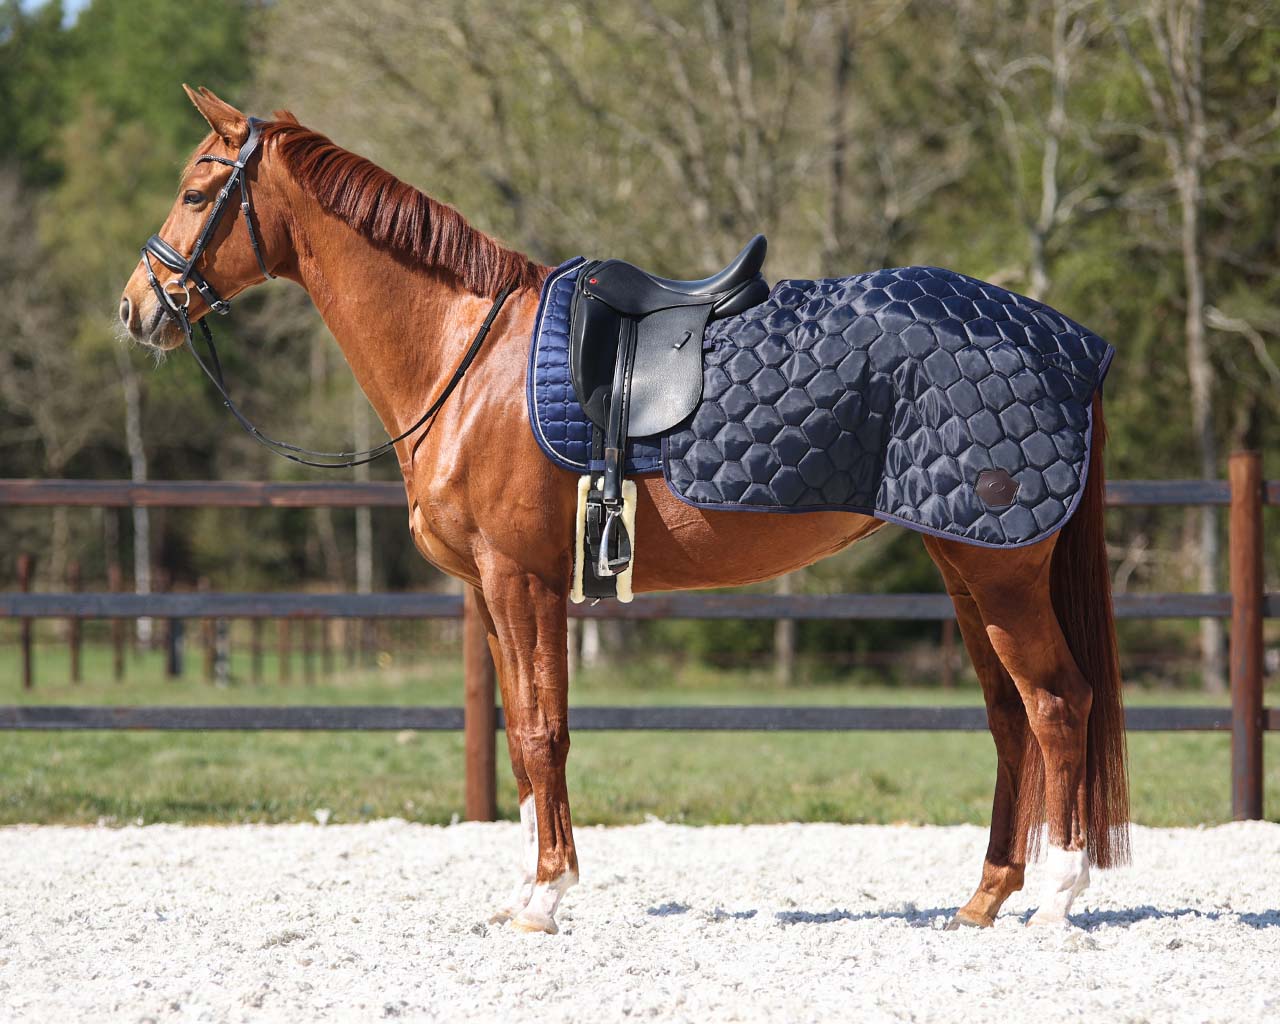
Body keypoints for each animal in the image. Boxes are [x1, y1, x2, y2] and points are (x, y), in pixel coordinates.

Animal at [119, 86, 1128, 935]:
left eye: (198, 190)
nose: (137, 308)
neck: (468, 354)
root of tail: (1069, 341)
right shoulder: (492, 592)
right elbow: (523, 745)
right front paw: (529, 888)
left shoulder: (520, 581)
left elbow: (542, 733)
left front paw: (546, 896)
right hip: (962, 561)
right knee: (1010, 717)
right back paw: (986, 898)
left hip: (1002, 571)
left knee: (1057, 704)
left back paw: (1058, 899)